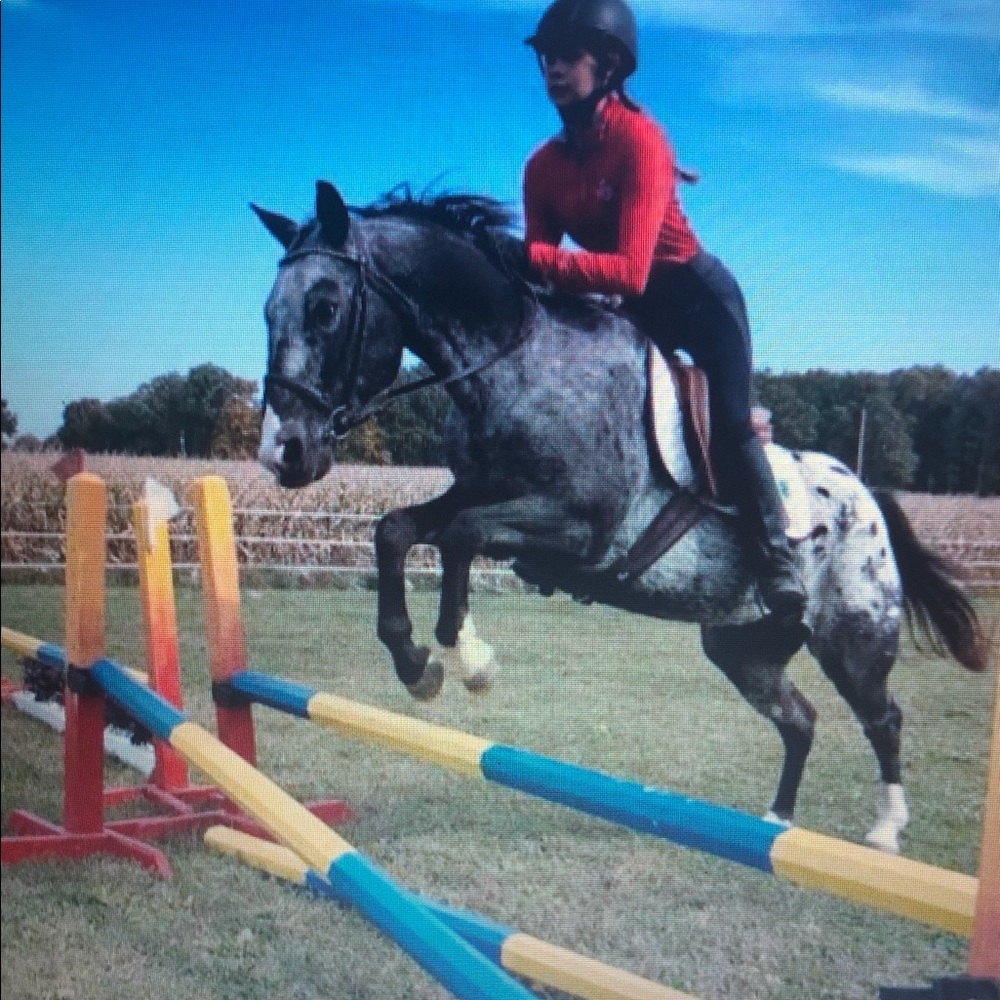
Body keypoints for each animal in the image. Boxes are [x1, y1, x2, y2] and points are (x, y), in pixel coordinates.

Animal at [253, 180, 986, 853]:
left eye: (325, 308)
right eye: (268, 312)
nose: (282, 451)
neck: (519, 364)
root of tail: (869, 496)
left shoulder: (579, 533)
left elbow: (460, 537)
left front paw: (469, 658)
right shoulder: (480, 494)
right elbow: (397, 529)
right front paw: (416, 663)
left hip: (854, 638)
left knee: (882, 716)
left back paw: (884, 832)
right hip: (740, 647)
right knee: (799, 717)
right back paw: (775, 824)